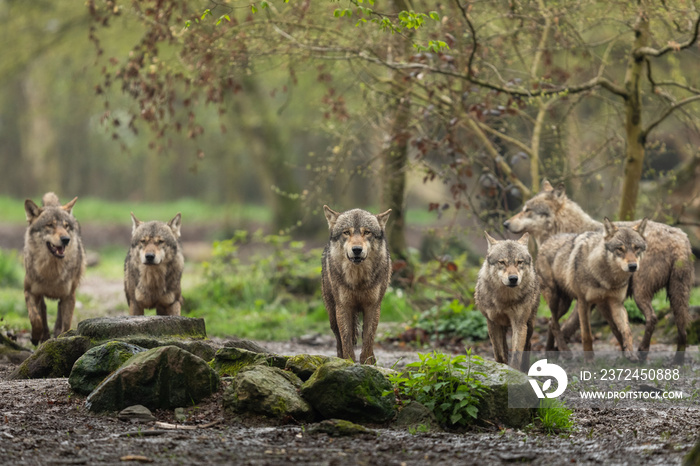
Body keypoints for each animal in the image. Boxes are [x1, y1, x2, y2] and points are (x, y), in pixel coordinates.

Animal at [22, 191, 85, 344]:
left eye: (66, 226)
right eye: (50, 225)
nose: (66, 239)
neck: (51, 271)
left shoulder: (69, 296)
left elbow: (66, 324)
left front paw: (64, 338)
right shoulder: (29, 292)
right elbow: (35, 318)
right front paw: (35, 337)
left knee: (58, 315)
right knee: (43, 311)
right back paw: (43, 336)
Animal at [320, 207, 392, 364]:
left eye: (367, 232)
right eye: (347, 232)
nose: (357, 249)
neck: (358, 280)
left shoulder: (373, 307)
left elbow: (368, 340)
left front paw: (368, 363)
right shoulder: (343, 307)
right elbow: (346, 340)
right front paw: (348, 362)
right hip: (332, 314)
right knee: (338, 338)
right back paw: (339, 357)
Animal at [474, 232, 540, 372]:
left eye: (519, 262)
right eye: (502, 262)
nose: (513, 278)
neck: (504, 299)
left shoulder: (519, 324)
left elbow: (516, 355)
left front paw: (514, 372)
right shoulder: (492, 323)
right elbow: (499, 353)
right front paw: (501, 367)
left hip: (529, 325)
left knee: (528, 346)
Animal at [540, 218, 648, 360]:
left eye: (636, 248)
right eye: (620, 249)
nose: (633, 266)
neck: (607, 278)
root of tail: (546, 240)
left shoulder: (616, 303)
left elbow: (626, 330)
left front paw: (630, 352)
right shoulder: (583, 302)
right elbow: (587, 335)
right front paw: (589, 360)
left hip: (566, 305)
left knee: (551, 322)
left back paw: (550, 352)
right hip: (555, 299)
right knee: (554, 323)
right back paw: (564, 350)